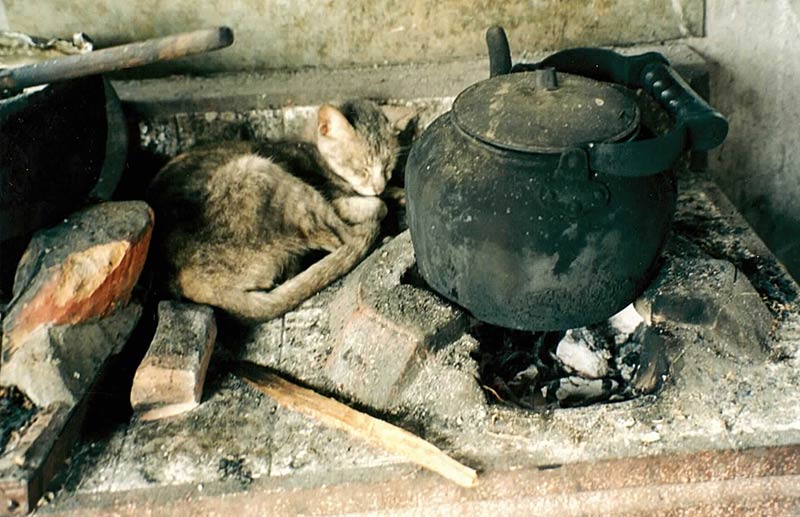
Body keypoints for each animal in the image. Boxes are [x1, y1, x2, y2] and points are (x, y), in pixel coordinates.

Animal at [146, 99, 400, 320]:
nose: (378, 184)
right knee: (343, 240)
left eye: (388, 166)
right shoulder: (335, 198)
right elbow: (376, 205)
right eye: (362, 168)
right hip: (268, 175)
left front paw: (396, 191)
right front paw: (384, 200)